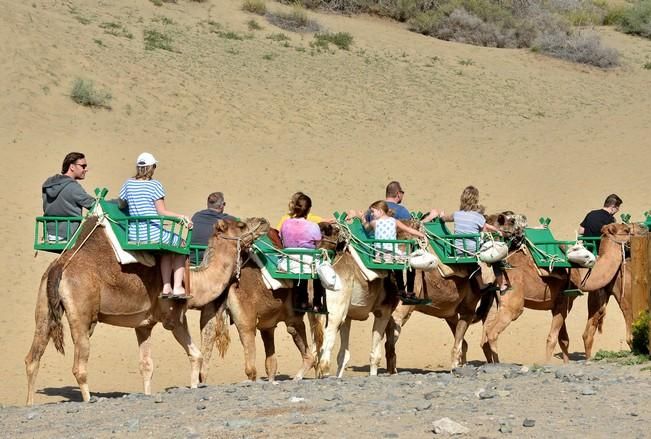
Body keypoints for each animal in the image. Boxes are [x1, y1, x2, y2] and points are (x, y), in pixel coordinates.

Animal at [22, 217, 268, 406]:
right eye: (241, 224)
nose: (263, 221)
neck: (196, 283)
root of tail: (60, 266)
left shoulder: (143, 325)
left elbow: (147, 365)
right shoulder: (173, 318)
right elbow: (195, 354)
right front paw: (194, 387)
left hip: (43, 307)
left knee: (33, 357)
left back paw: (29, 403)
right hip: (83, 313)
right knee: (79, 365)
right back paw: (88, 400)